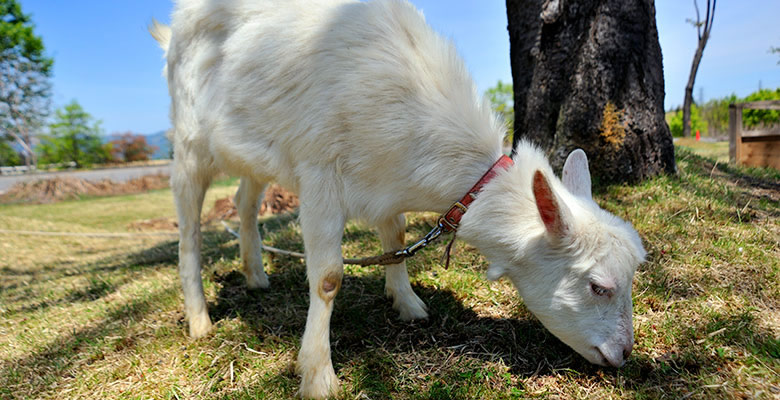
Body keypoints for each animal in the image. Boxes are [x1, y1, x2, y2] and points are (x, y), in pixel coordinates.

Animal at [152, 0, 644, 396]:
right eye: (598, 286)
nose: (622, 354)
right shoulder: (320, 173)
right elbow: (328, 278)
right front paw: (318, 376)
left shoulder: (384, 185)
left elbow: (397, 239)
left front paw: (407, 304)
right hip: (190, 144)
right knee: (188, 229)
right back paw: (199, 319)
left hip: (255, 150)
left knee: (245, 200)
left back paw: (255, 275)